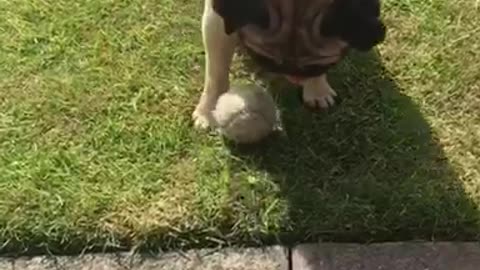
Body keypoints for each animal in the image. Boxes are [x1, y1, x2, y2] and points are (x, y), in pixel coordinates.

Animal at [191, 0, 386, 129]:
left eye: (319, 67)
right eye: (263, 59)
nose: (295, 77)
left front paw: (317, 89)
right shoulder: (217, 20)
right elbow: (216, 73)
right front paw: (209, 110)